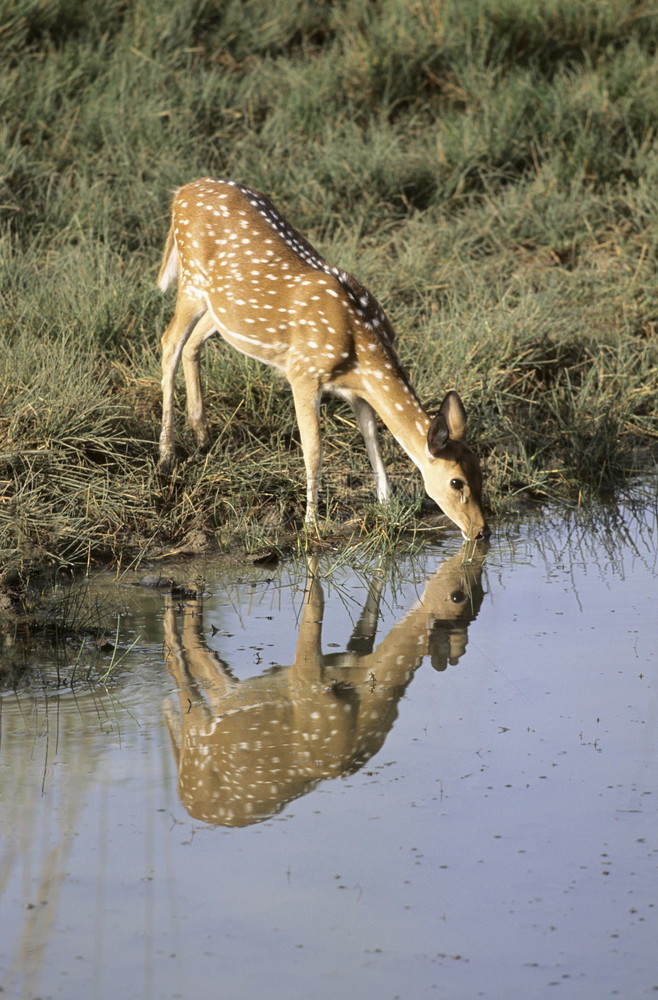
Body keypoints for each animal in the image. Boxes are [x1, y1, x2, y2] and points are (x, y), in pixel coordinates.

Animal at [155, 178, 486, 540]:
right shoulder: (302, 372)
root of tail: (182, 192)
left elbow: (372, 438)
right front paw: (311, 523)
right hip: (190, 280)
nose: (480, 531)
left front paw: (386, 504)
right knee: (169, 343)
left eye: (481, 472)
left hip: (221, 308)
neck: (361, 349)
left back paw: (202, 436)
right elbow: (314, 450)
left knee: (192, 344)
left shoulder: (356, 389)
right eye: (456, 482)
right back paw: (166, 455)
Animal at [161, 548, 484, 828]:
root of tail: (185, 797)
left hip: (227, 699)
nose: (469, 563)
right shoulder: (308, 680)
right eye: (457, 596)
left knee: (194, 649)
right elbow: (317, 599)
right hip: (199, 737)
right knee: (180, 657)